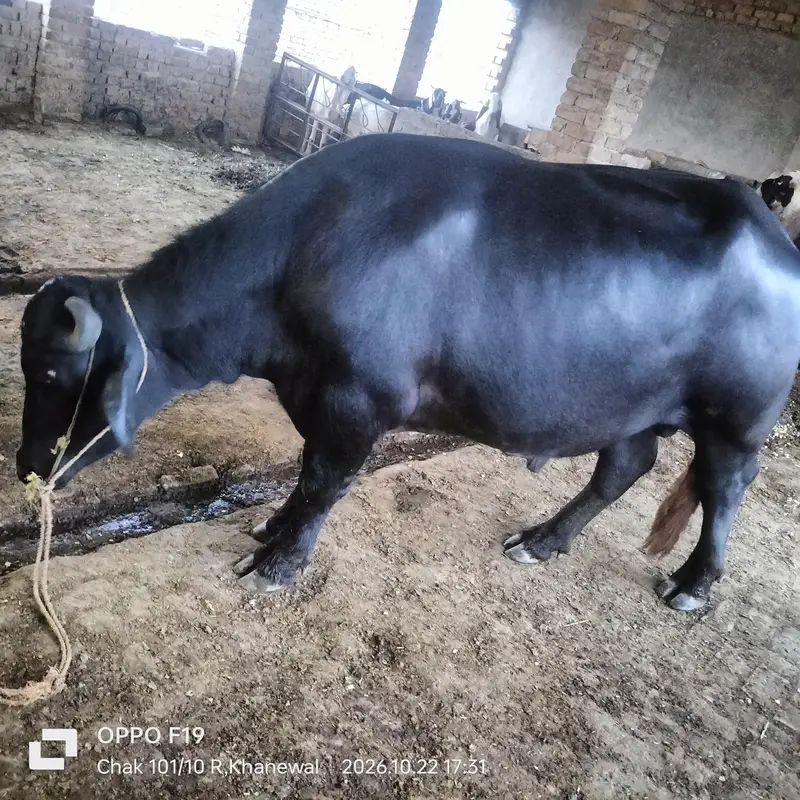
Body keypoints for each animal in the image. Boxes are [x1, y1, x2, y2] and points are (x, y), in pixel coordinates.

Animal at [17, 134, 800, 612]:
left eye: (53, 376)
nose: (26, 465)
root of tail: (767, 227)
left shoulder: (360, 399)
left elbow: (325, 481)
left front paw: (279, 565)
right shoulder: (317, 396)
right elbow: (305, 475)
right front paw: (271, 530)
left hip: (735, 418)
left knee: (725, 485)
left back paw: (693, 584)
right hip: (628, 402)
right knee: (625, 465)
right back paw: (542, 540)